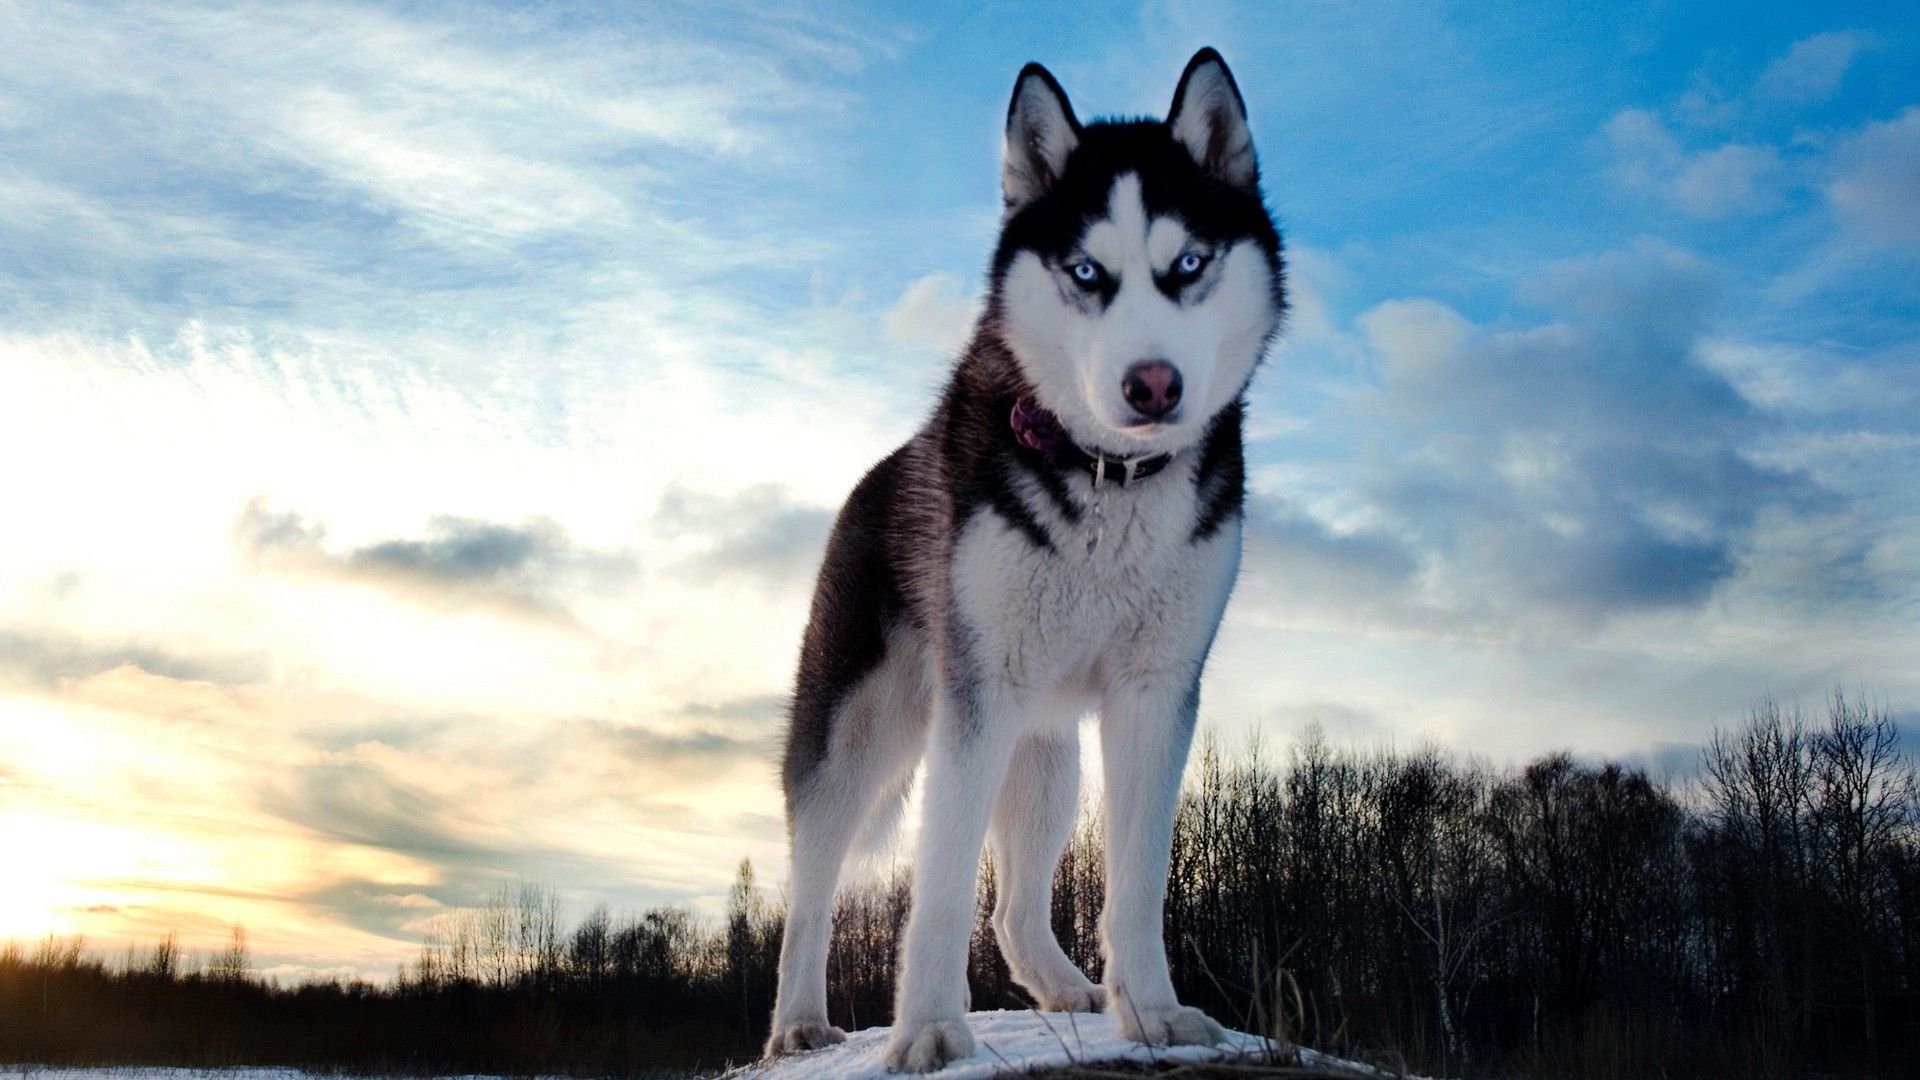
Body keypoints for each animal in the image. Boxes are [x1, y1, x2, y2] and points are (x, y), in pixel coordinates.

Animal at [763, 48, 1285, 1072]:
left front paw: (1152, 1013)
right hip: (861, 733)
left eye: (1189, 265)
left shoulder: (1156, 694)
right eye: (1086, 271)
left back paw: (1064, 988)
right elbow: (936, 887)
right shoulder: (978, 699)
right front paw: (929, 1027)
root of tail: (875, 475)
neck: (1108, 479)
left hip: (1045, 755)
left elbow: (1136, 882)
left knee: (1011, 907)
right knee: (811, 889)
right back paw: (798, 1021)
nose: (1153, 384)